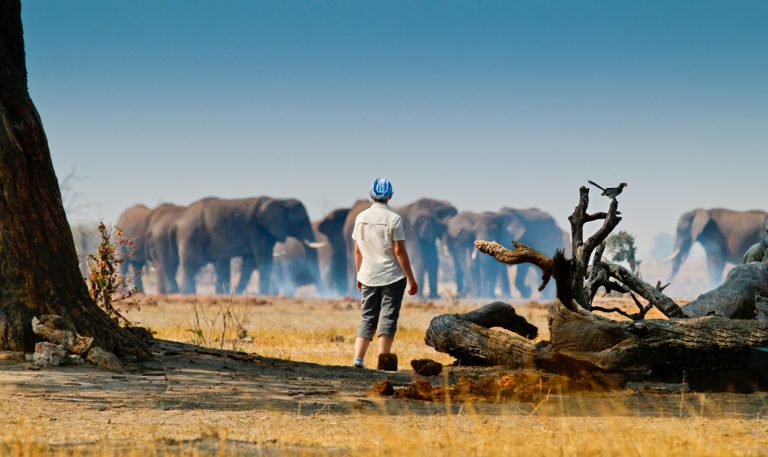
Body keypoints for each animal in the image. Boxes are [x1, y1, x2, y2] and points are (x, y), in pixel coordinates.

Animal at [173, 197, 320, 296]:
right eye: (301, 221)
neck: (280, 201)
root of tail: (181, 218)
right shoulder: (257, 230)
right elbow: (263, 259)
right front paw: (264, 294)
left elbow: (250, 262)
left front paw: (239, 293)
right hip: (191, 234)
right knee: (190, 266)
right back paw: (187, 294)